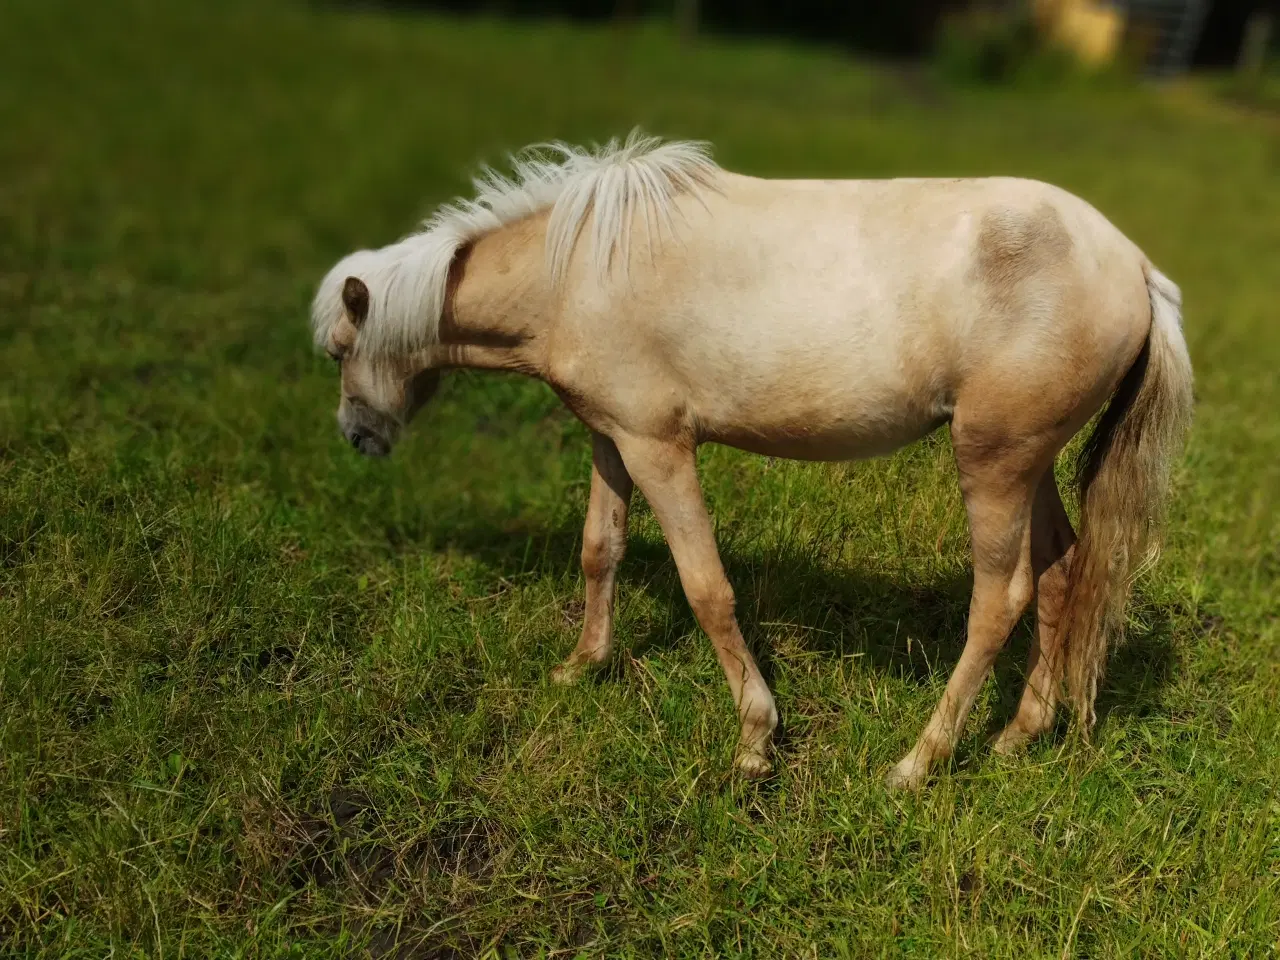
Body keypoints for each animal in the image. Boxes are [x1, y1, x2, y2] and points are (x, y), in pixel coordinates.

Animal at [309, 133, 1187, 788]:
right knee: (1063, 572)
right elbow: (601, 550)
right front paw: (581, 666)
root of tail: (1135, 266)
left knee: (999, 600)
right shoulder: (611, 438)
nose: (357, 436)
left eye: (340, 351)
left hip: (993, 464)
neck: (577, 267)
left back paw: (920, 761)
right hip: (1029, 463)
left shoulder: (660, 448)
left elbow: (707, 589)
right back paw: (1018, 736)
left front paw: (755, 741)